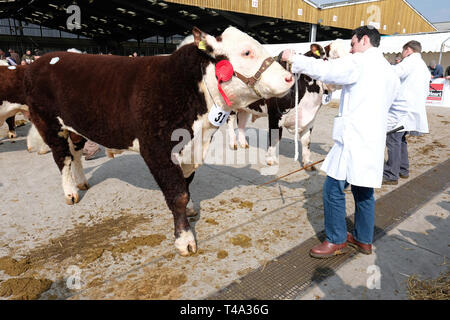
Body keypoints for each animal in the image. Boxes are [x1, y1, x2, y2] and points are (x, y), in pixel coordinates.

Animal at [22, 28, 294, 258]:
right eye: (247, 52)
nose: (290, 78)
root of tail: (45, 59)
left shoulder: (191, 149)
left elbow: (186, 184)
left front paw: (191, 208)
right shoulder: (156, 150)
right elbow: (177, 194)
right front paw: (184, 240)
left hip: (76, 126)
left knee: (76, 154)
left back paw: (81, 182)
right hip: (50, 124)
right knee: (63, 158)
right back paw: (70, 192)